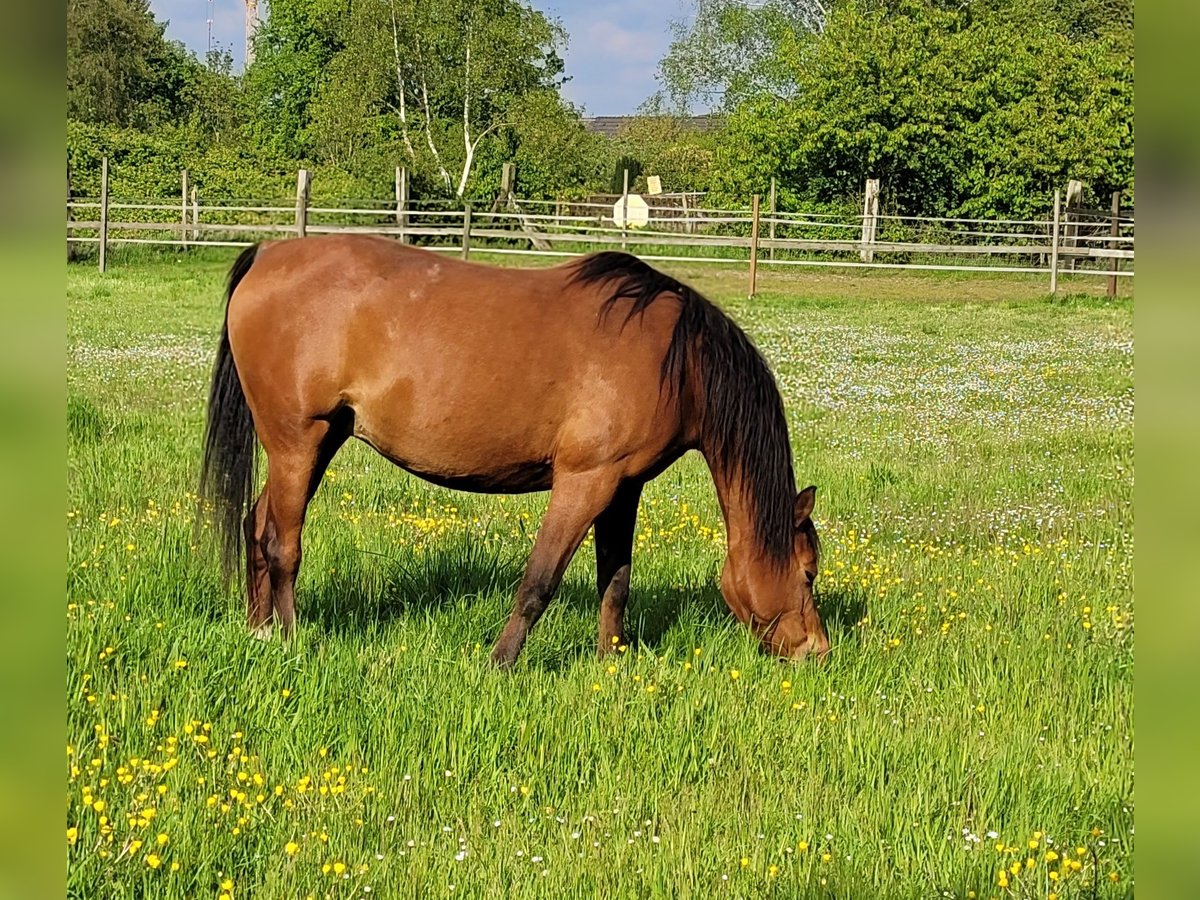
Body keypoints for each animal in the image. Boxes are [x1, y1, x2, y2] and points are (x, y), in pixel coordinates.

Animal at [201, 236, 830, 667]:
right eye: (807, 574)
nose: (817, 651)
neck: (677, 361)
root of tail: (268, 254)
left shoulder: (623, 488)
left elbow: (616, 581)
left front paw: (610, 663)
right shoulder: (585, 481)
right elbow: (539, 582)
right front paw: (500, 664)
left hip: (319, 441)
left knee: (257, 524)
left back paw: (258, 631)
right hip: (297, 442)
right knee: (282, 545)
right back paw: (289, 640)